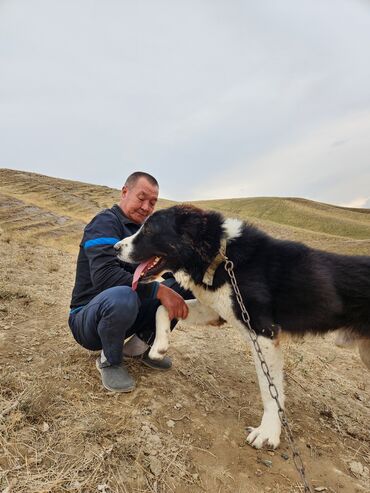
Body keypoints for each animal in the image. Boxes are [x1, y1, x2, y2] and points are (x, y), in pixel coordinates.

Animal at [115, 202, 370, 448]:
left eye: (149, 230)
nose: (116, 248)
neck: (220, 255)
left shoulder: (264, 334)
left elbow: (270, 388)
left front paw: (268, 433)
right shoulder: (215, 311)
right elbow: (163, 308)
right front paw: (159, 346)